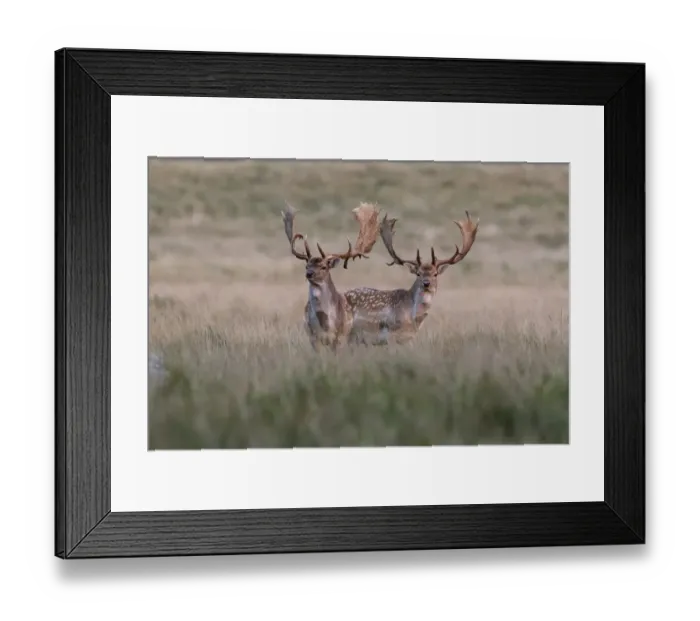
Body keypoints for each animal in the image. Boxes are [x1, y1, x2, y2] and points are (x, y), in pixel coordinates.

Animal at [282, 201, 381, 352]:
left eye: (324, 267)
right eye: (306, 266)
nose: (309, 274)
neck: (326, 325)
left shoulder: (340, 337)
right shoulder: (313, 337)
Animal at [344, 210, 479, 346]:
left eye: (435, 274)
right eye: (418, 273)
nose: (426, 283)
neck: (412, 319)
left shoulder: (409, 338)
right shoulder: (390, 336)